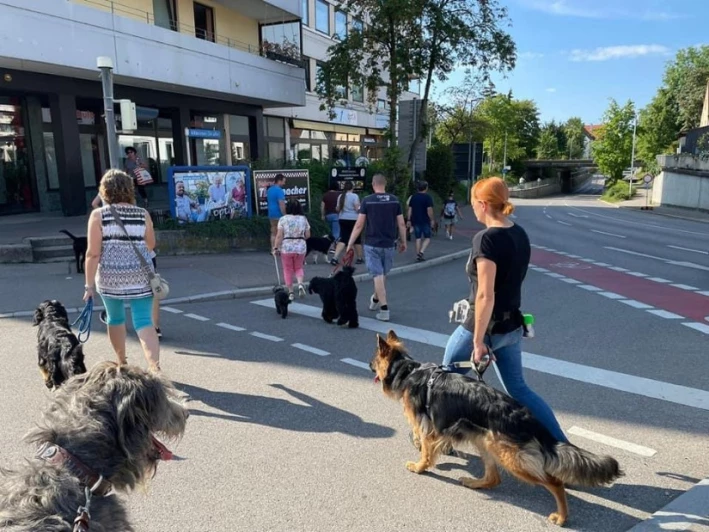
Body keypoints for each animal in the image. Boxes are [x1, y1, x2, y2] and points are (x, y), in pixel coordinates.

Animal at [370, 330, 620, 524]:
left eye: (373, 359)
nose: (369, 365)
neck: (406, 370)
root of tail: (527, 416)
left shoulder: (427, 427)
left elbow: (426, 450)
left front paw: (420, 466)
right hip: (485, 441)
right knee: (494, 479)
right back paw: (474, 482)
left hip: (509, 456)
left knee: (554, 483)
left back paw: (561, 516)